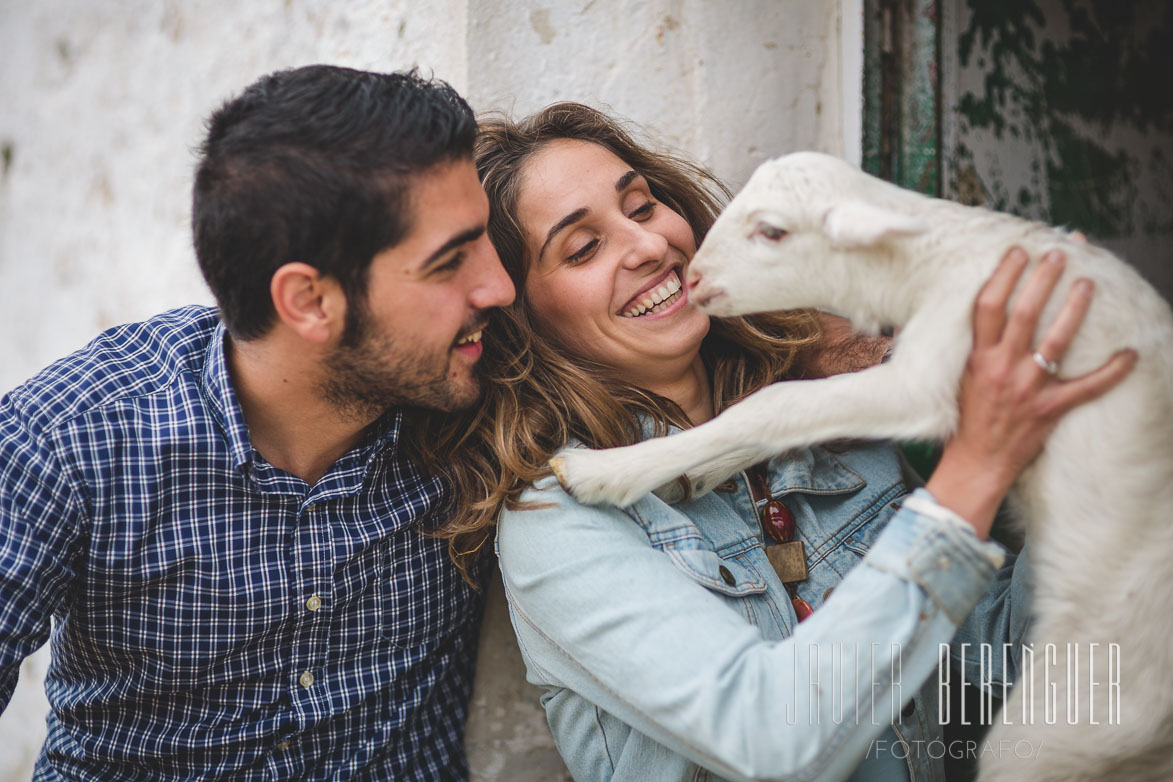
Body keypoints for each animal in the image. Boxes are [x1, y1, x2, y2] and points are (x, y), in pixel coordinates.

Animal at [548, 151, 1173, 782]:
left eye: (773, 231)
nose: (695, 280)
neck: (928, 262)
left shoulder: (930, 372)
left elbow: (777, 403)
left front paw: (603, 471)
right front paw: (684, 477)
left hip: (1068, 715)